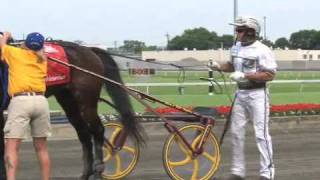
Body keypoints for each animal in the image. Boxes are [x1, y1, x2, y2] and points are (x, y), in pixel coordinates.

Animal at [0, 41, 144, 180]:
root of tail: (89, 50)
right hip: (69, 102)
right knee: (84, 134)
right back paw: (85, 174)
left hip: (86, 103)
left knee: (97, 130)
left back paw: (98, 172)